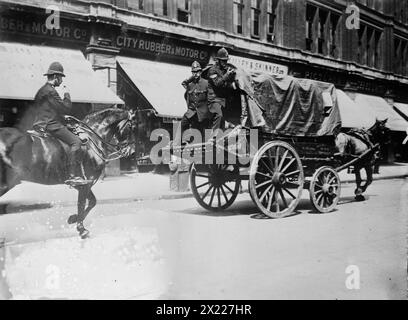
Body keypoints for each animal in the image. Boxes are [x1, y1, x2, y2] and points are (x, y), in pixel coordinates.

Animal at [0, 107, 137, 238]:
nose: (132, 152)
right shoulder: (85, 184)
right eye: (131, 127)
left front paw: (73, 219)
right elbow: (82, 204)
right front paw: (81, 229)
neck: (91, 140)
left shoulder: (83, 183)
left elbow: (92, 202)